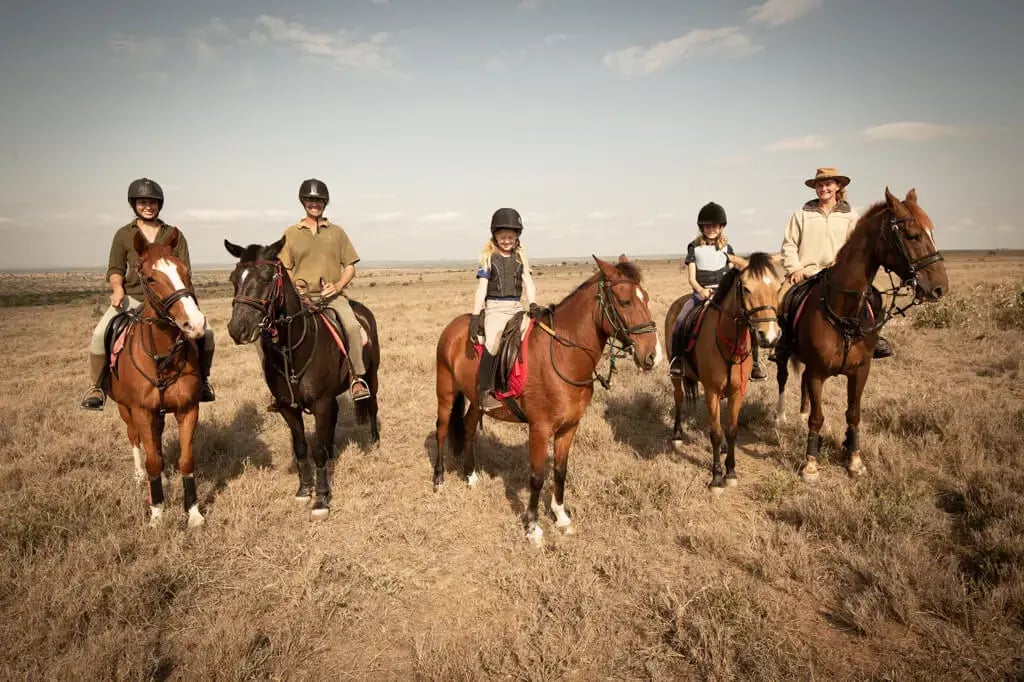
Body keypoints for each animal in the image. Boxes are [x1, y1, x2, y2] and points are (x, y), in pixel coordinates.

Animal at [108, 229, 207, 524]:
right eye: (151, 277)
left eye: (185, 271)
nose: (195, 324)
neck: (162, 358)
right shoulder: (141, 411)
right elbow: (152, 458)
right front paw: (157, 513)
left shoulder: (188, 408)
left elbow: (185, 460)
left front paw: (193, 513)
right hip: (125, 409)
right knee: (136, 439)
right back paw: (141, 476)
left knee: (157, 440)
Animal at [226, 236, 382, 518]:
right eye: (234, 278)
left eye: (266, 277)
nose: (237, 328)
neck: (293, 349)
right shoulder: (289, 408)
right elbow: (301, 448)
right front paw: (304, 489)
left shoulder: (321, 403)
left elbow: (316, 450)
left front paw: (321, 499)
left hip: (372, 375)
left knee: (372, 404)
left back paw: (374, 440)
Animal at [434, 251, 663, 544]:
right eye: (625, 302)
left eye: (646, 297)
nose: (653, 355)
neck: (564, 355)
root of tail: (453, 328)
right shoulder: (540, 429)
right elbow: (536, 476)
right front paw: (533, 528)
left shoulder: (569, 427)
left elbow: (560, 471)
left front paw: (561, 517)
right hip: (446, 393)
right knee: (441, 430)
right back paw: (439, 480)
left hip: (476, 401)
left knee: (469, 428)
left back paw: (471, 476)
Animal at [663, 251, 782, 491]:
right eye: (746, 288)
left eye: (777, 287)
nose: (770, 336)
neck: (731, 344)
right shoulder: (711, 391)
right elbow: (716, 433)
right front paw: (717, 476)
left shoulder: (737, 391)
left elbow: (732, 429)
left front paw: (732, 471)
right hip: (677, 375)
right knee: (679, 397)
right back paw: (677, 434)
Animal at [774, 187, 950, 477]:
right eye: (912, 235)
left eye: (932, 232)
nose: (939, 288)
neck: (844, 312)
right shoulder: (818, 372)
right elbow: (817, 418)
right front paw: (811, 462)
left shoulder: (860, 371)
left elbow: (853, 414)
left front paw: (854, 457)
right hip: (784, 356)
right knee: (783, 379)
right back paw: (781, 416)